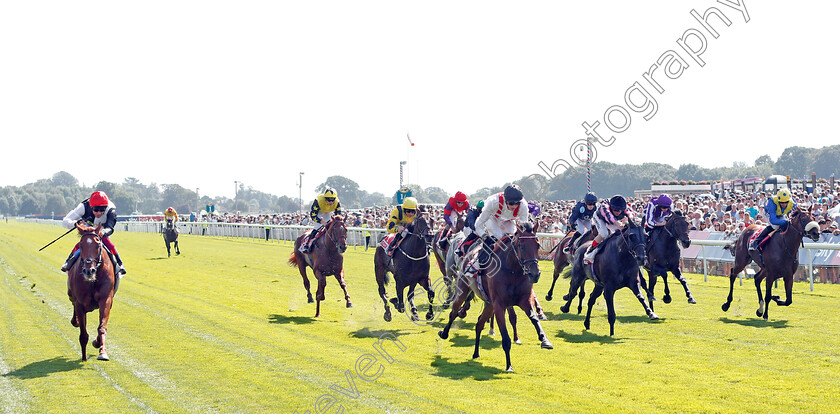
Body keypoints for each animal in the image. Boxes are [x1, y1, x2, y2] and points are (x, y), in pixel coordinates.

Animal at [67, 223, 116, 362]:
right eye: (81, 244)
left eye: (98, 245)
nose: (89, 270)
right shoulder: (80, 303)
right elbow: (83, 334)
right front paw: (84, 357)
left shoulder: (106, 299)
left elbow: (102, 327)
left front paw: (102, 351)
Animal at [436, 222, 556, 374]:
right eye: (521, 245)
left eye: (538, 245)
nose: (535, 274)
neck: (513, 270)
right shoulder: (499, 305)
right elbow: (505, 337)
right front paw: (509, 365)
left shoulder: (524, 300)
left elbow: (534, 318)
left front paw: (545, 340)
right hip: (463, 289)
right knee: (454, 311)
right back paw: (444, 332)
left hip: (489, 304)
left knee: (479, 324)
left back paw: (476, 353)